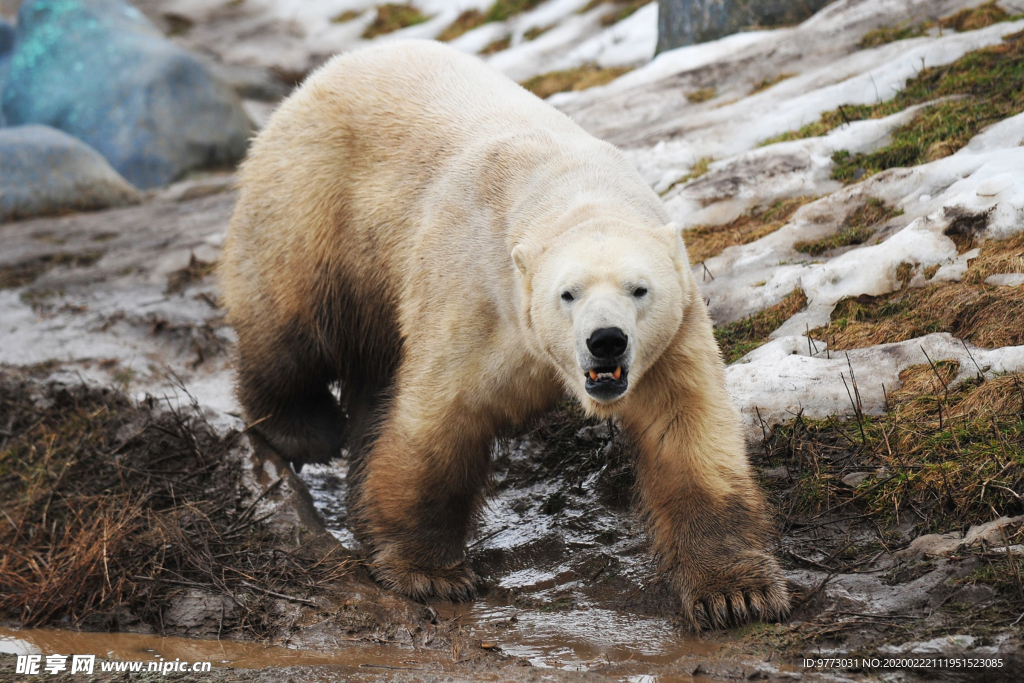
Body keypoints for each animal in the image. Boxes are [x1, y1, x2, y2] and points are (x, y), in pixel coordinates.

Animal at [220, 41, 786, 630]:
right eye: (568, 293)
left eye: (639, 289)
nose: (606, 340)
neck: (570, 186)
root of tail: (317, 78)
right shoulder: (475, 300)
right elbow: (438, 423)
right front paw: (431, 574)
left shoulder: (672, 338)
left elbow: (688, 433)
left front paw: (736, 594)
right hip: (318, 209)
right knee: (290, 326)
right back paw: (302, 428)